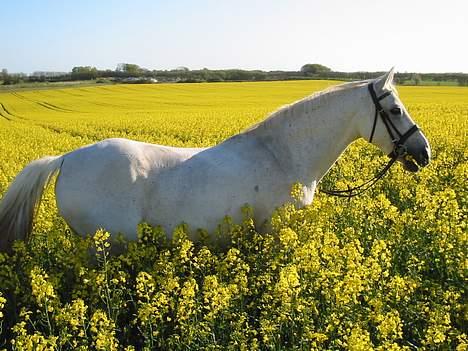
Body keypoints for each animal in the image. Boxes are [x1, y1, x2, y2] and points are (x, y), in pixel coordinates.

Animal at [0, 69, 432, 252]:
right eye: (395, 110)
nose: (423, 153)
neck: (283, 155)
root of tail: (67, 157)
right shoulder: (274, 229)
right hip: (106, 245)